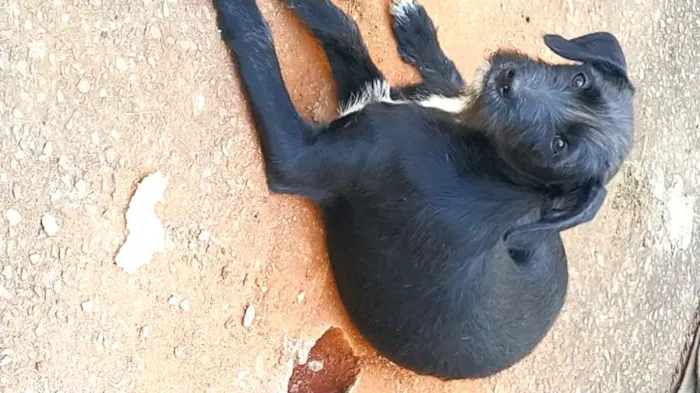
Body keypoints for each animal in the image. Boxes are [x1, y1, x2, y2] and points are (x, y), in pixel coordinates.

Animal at [213, 0, 636, 378]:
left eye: (558, 146)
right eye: (580, 80)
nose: (507, 80)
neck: (482, 151)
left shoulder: (299, 158)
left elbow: (258, 40)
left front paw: (236, 9)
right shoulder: (373, 92)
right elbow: (342, 26)